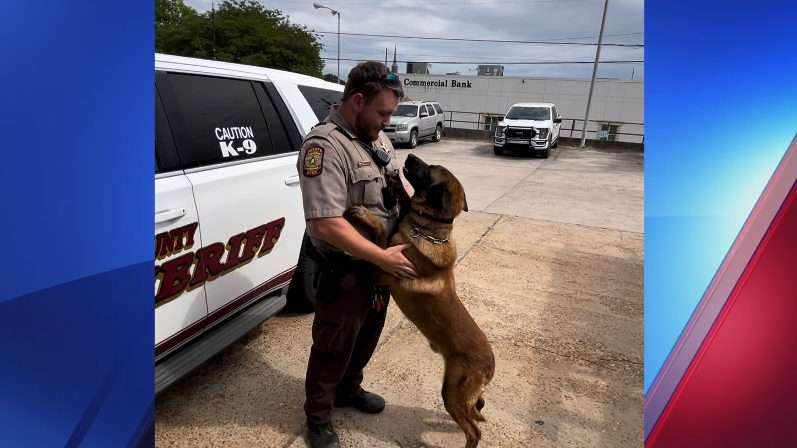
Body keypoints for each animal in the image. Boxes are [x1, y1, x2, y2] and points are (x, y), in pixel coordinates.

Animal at [346, 155, 494, 448]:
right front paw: (396, 184)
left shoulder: (382, 270)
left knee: (474, 430)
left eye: (428, 171)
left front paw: (367, 217)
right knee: (478, 408)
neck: (429, 229)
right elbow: (404, 202)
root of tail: (490, 367)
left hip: (451, 394)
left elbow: (380, 236)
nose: (410, 156)